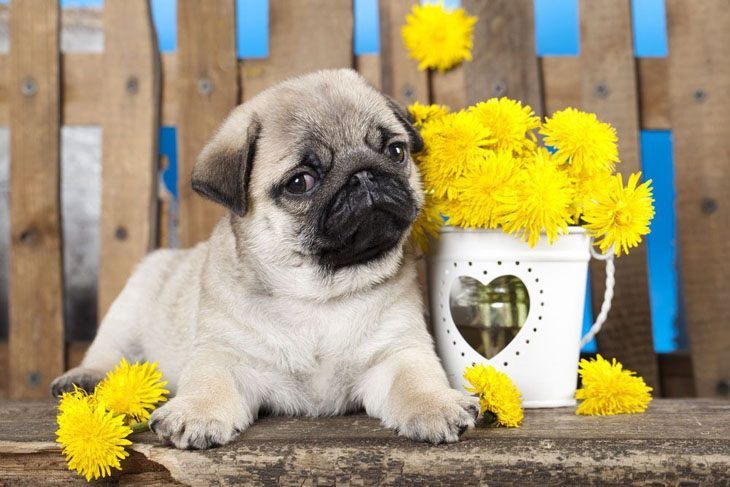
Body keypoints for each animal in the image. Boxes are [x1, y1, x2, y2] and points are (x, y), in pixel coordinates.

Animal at [48, 68, 474, 450]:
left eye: (395, 151)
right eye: (300, 182)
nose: (364, 174)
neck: (318, 295)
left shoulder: (397, 352)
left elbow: (415, 381)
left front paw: (437, 405)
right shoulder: (225, 357)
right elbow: (209, 383)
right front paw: (196, 413)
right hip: (132, 300)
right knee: (108, 350)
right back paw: (84, 377)